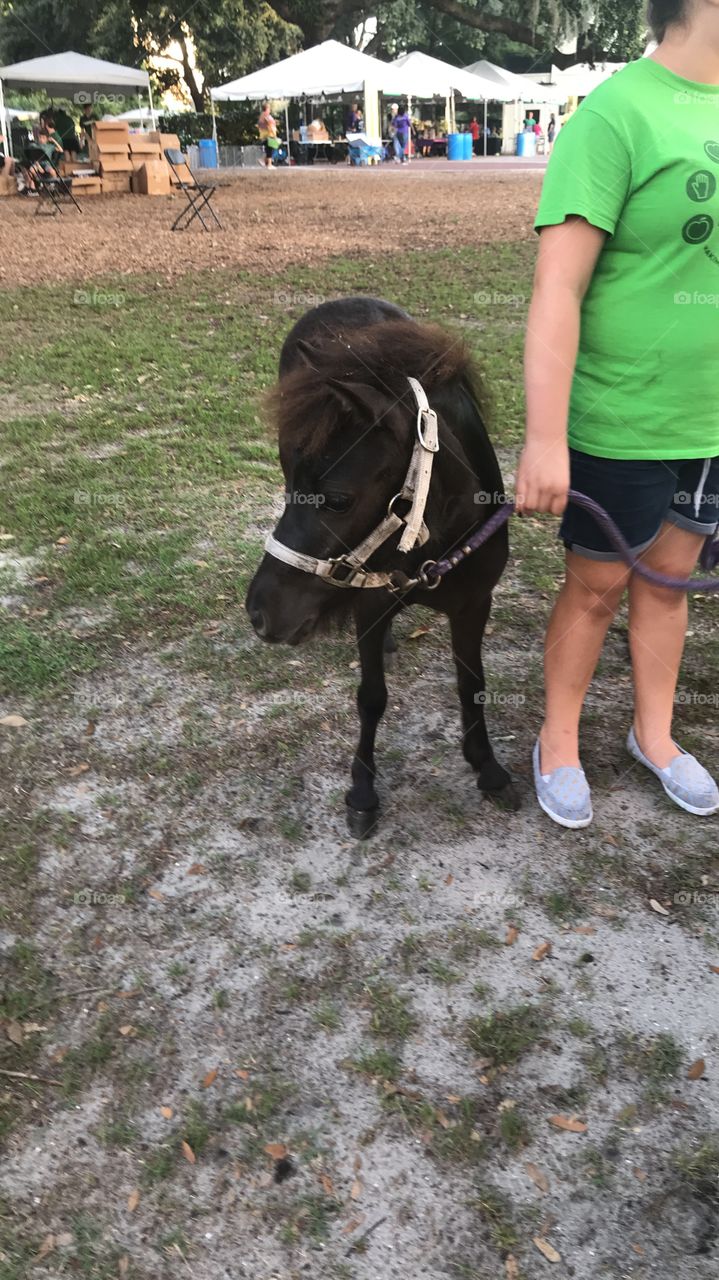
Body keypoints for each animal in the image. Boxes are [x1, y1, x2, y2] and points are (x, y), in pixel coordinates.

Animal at [246, 296, 519, 836]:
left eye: (337, 500)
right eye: (292, 486)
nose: (258, 611)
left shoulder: (475, 605)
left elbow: (472, 685)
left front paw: (487, 767)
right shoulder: (371, 605)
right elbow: (371, 697)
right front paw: (362, 792)